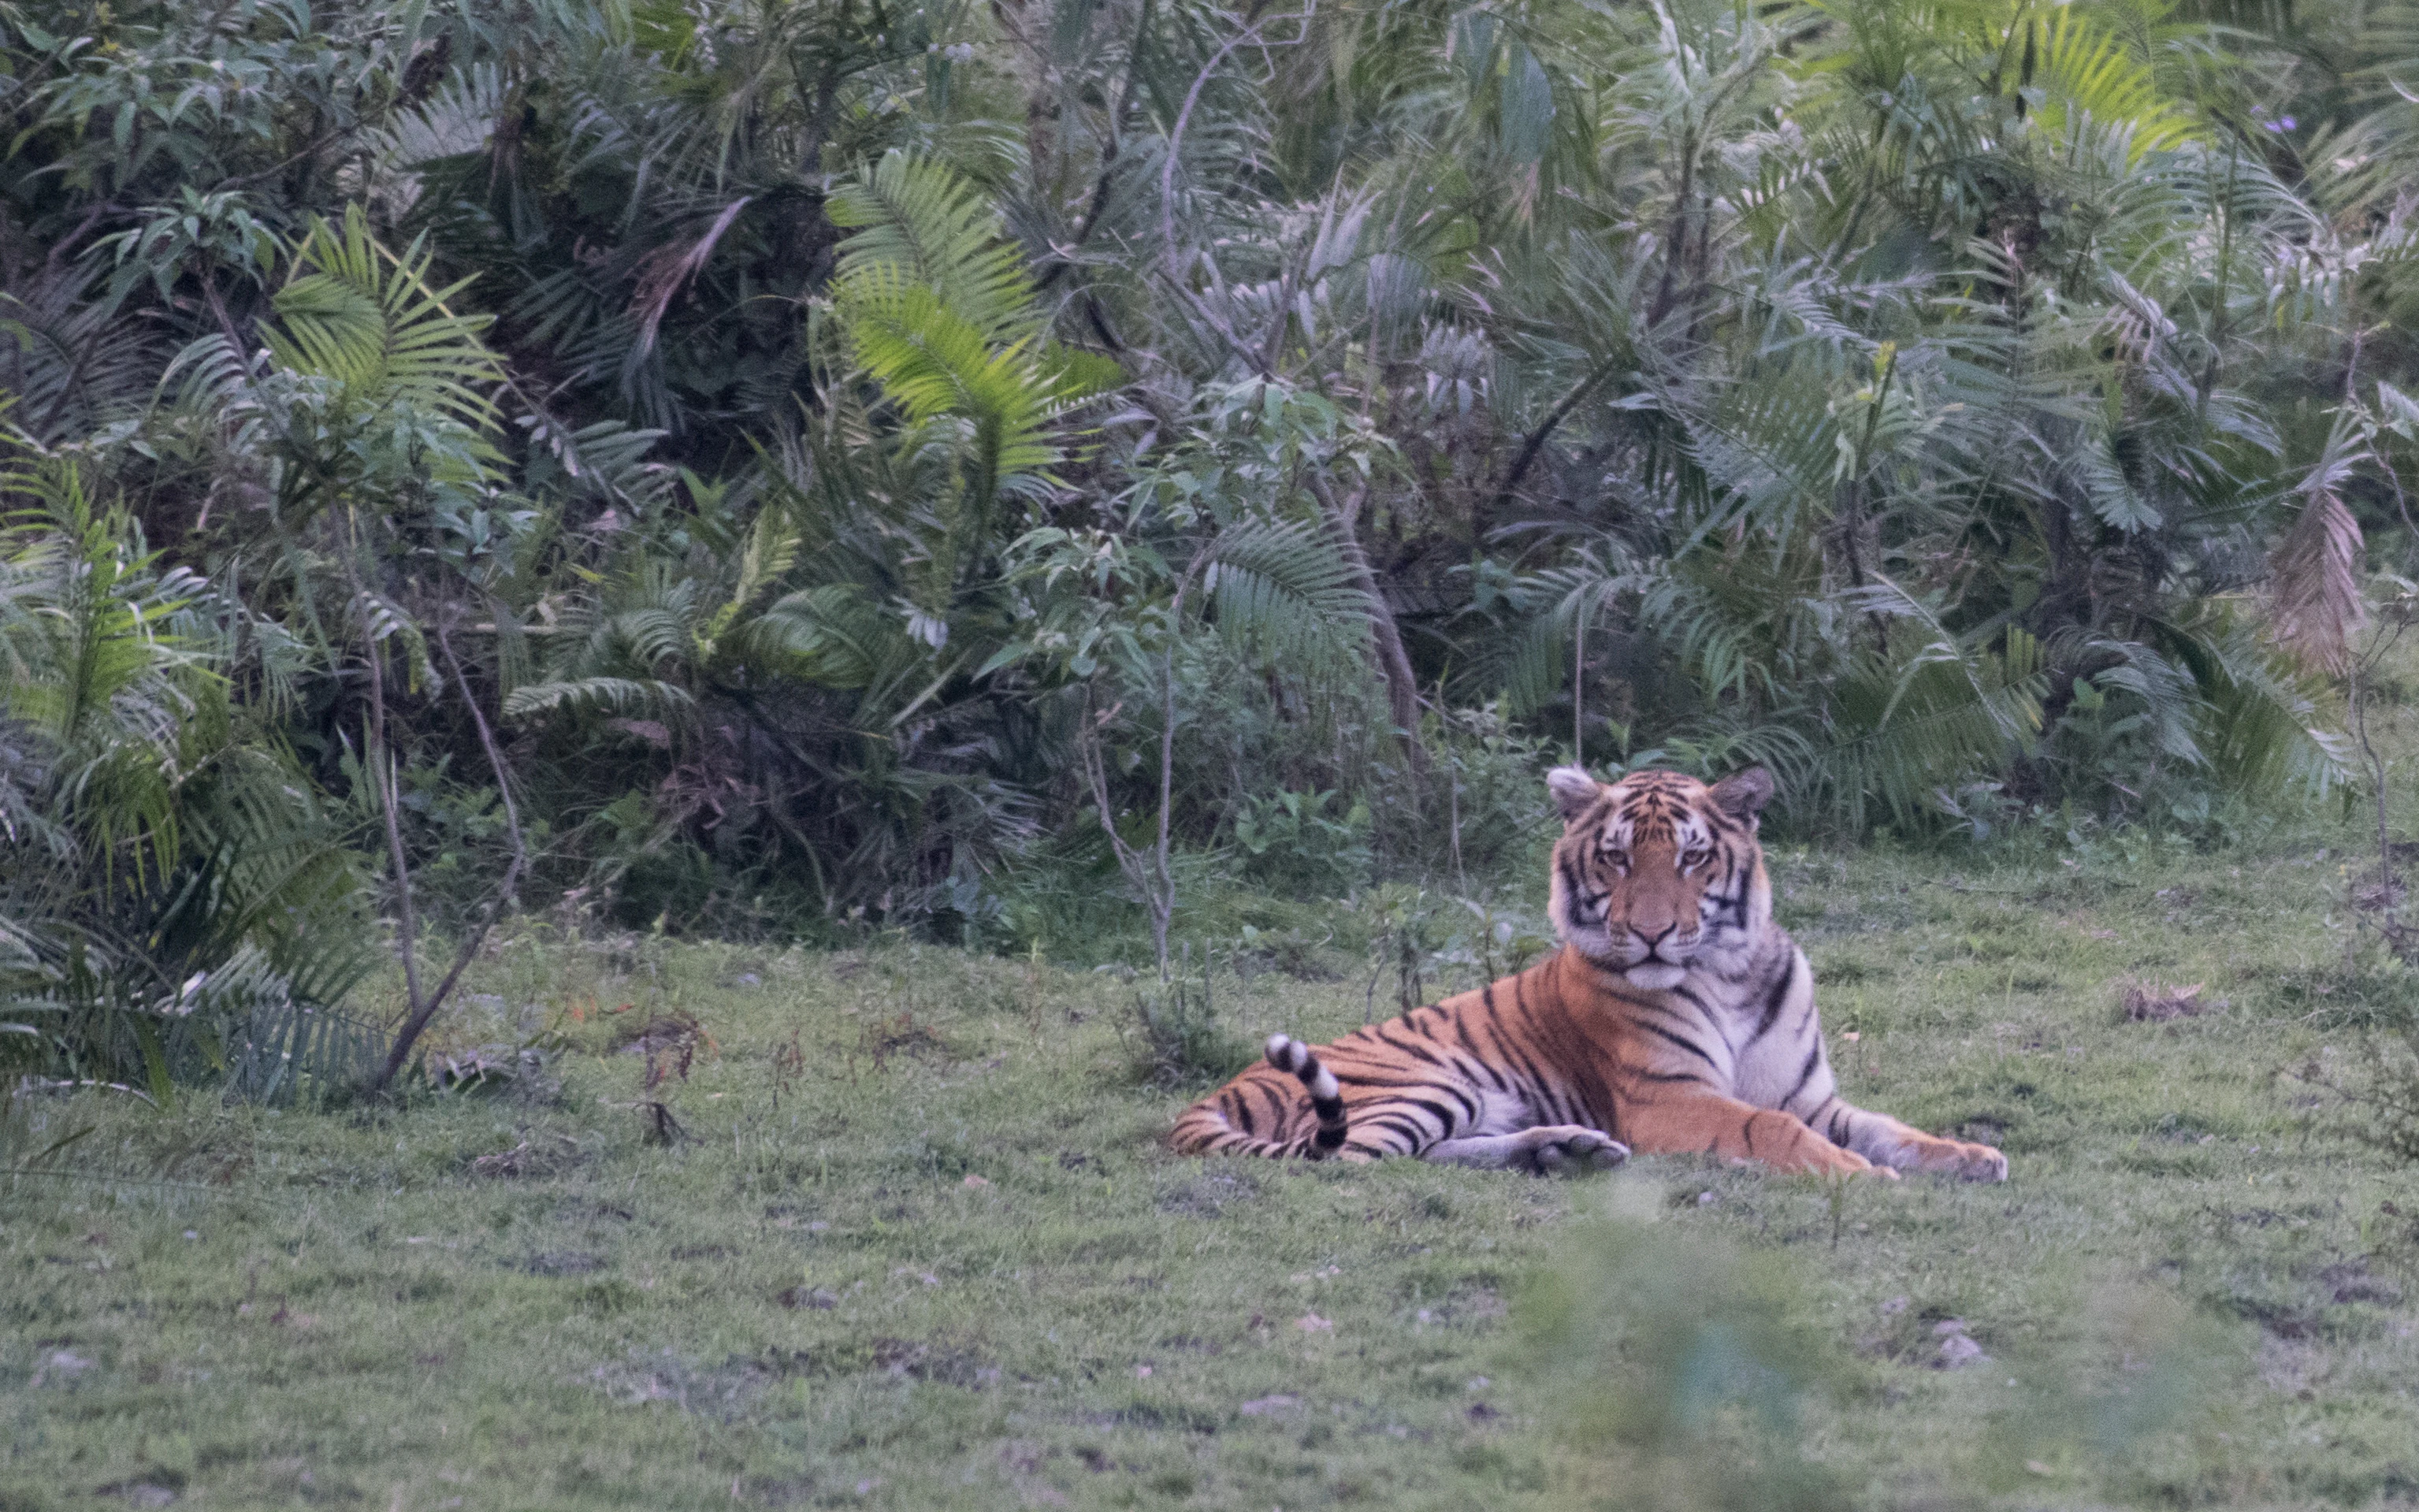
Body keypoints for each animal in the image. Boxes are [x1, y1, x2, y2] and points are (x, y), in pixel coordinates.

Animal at [1171, 765, 2007, 1181]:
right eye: (1616, 856)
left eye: (1692, 857)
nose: (1652, 933)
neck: (1729, 971)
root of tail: (1217, 1090)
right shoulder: (1668, 1098)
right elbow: (1767, 1128)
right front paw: (1856, 1173)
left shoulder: (1809, 1096)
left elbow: (1889, 1128)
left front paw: (1970, 1156)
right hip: (1426, 1083)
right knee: (1351, 1159)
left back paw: (1562, 1149)